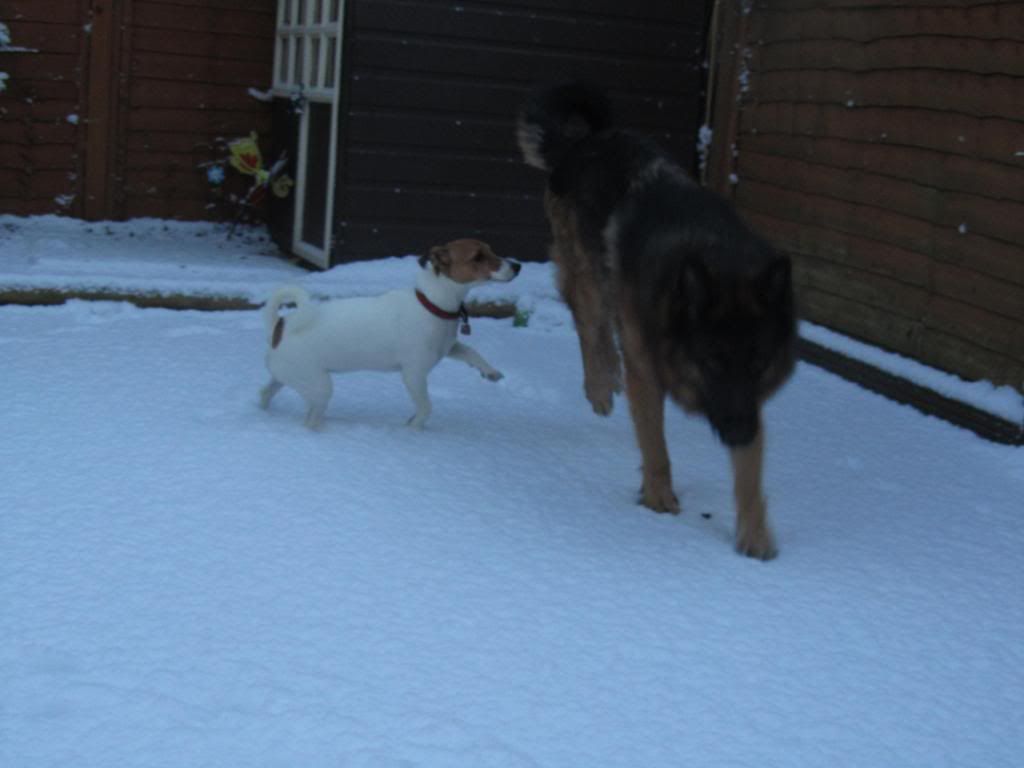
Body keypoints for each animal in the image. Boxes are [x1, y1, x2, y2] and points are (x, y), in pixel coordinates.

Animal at [260, 239, 524, 430]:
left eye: (491, 249)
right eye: (478, 256)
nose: (518, 266)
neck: (432, 304)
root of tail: (280, 327)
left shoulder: (448, 348)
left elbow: (471, 351)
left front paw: (490, 371)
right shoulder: (413, 375)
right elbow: (426, 407)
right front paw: (413, 428)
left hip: (287, 377)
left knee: (266, 392)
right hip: (319, 385)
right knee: (312, 416)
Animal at [516, 82, 794, 561]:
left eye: (758, 365)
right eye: (713, 362)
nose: (741, 433)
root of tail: (583, 142)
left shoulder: (748, 401)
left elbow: (750, 478)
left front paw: (755, 536)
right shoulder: (648, 373)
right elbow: (655, 445)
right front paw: (659, 502)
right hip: (590, 274)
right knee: (589, 328)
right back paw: (600, 386)